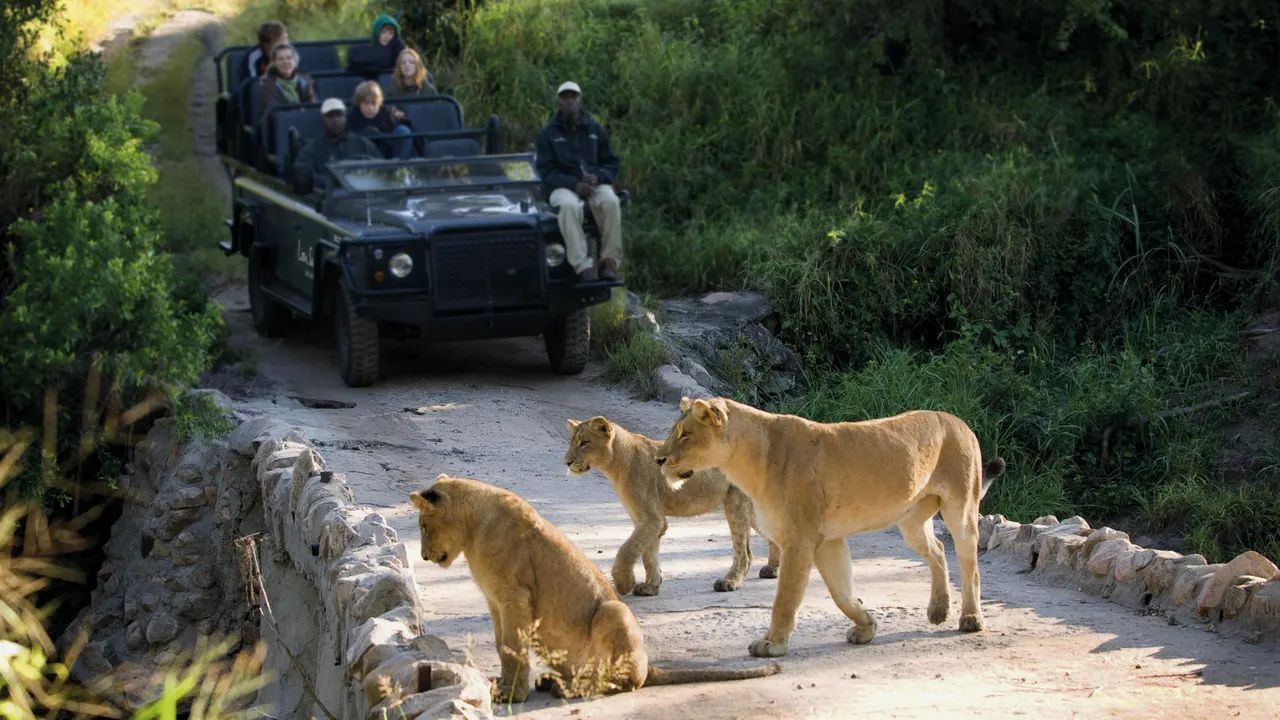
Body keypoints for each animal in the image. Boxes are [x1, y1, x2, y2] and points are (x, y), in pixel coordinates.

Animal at [408, 474, 783, 703]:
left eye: (424, 526)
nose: (423, 556)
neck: (473, 528)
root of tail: (650, 664)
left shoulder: (516, 598)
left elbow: (512, 649)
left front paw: (512, 695)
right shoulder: (495, 602)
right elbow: (503, 646)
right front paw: (501, 686)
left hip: (613, 611)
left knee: (625, 682)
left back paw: (571, 688)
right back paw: (554, 681)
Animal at [564, 416, 781, 596]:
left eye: (584, 443)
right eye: (572, 442)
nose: (567, 462)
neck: (615, 462)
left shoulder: (652, 519)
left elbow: (627, 550)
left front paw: (624, 584)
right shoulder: (645, 520)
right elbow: (648, 554)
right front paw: (651, 587)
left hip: (736, 503)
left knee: (744, 553)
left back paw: (730, 582)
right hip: (751, 510)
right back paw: (773, 569)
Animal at [653, 396, 1007, 659]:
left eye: (685, 434)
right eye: (674, 431)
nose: (659, 459)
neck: (747, 460)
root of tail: (959, 421)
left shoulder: (799, 539)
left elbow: (785, 597)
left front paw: (772, 643)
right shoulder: (827, 540)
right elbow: (841, 593)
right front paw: (866, 627)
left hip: (961, 508)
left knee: (969, 563)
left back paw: (970, 618)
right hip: (910, 521)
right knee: (938, 550)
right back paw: (937, 609)